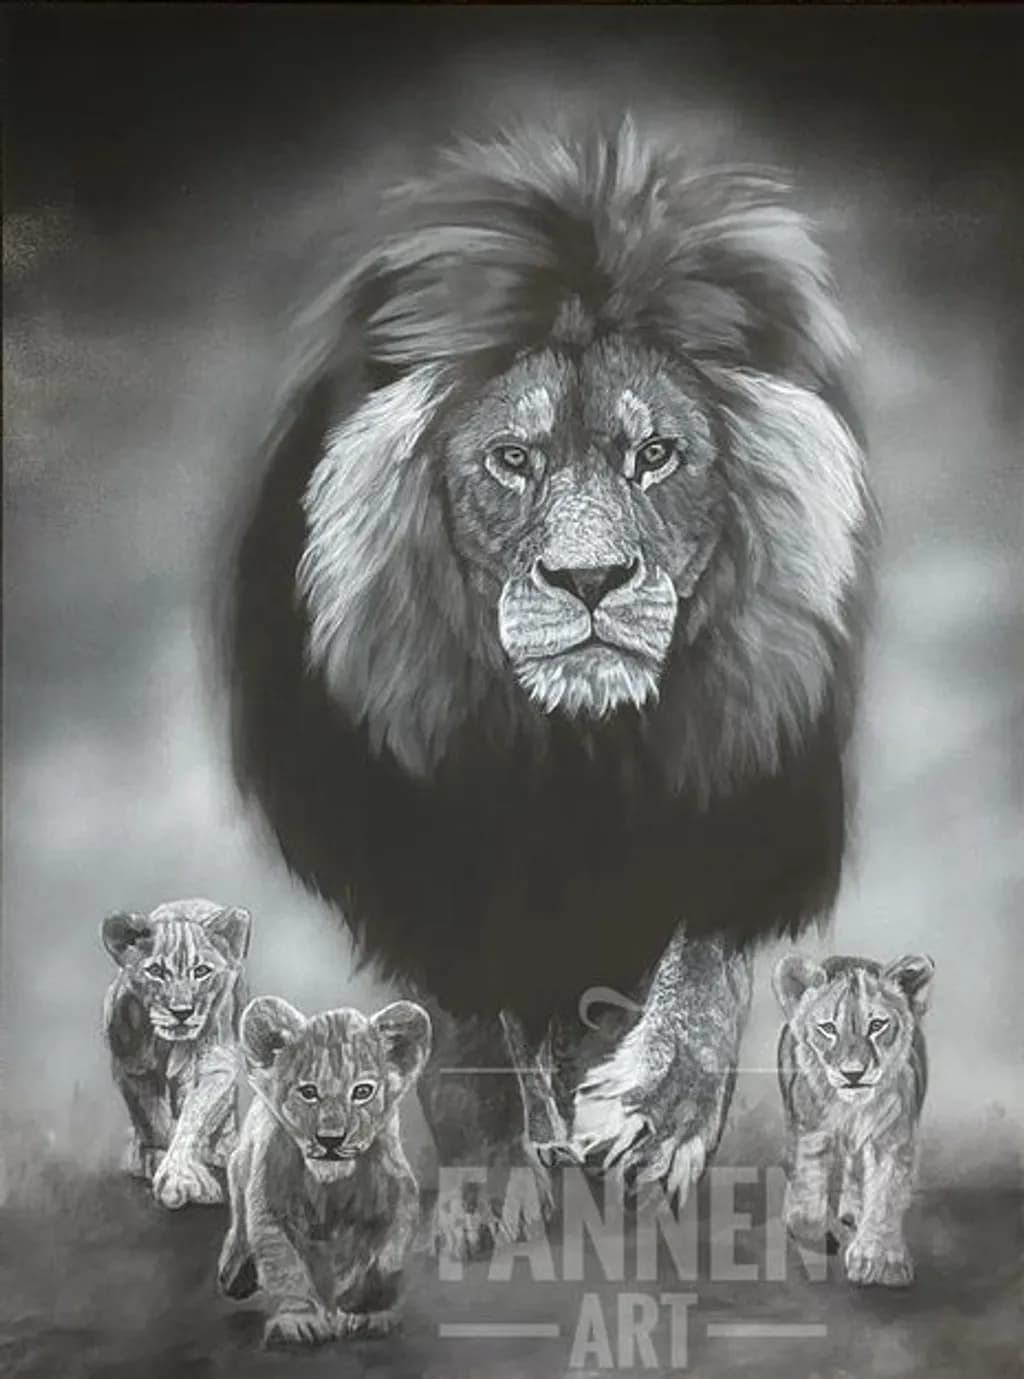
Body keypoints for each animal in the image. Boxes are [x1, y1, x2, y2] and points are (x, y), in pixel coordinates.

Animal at [101, 897, 251, 1209]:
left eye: (201, 971)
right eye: (156, 971)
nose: (182, 1012)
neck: (169, 1043)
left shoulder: (216, 1066)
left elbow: (195, 1117)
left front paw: (181, 1176)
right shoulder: (133, 1067)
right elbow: (153, 1119)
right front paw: (154, 1159)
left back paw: (223, 1149)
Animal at [217, 996, 431, 1347]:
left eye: (362, 1092)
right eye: (308, 1092)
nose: (330, 1140)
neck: (331, 1185)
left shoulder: (400, 1197)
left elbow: (387, 1259)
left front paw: (364, 1310)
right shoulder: (270, 1207)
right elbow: (284, 1265)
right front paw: (298, 1320)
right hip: (239, 1167)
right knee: (239, 1218)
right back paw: (234, 1271)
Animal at [221, 114, 877, 1254]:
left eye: (655, 454)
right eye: (512, 460)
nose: (589, 578)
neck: (577, 747)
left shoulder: (741, 798)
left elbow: (701, 973)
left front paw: (655, 1118)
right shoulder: (422, 862)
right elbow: (468, 1036)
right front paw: (491, 1182)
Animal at [773, 952, 935, 1286]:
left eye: (877, 1025)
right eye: (828, 1028)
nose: (853, 1073)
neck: (851, 1108)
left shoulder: (892, 1139)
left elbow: (885, 1196)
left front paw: (879, 1259)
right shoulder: (809, 1133)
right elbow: (806, 1204)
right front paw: (820, 1233)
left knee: (856, 1170)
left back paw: (853, 1211)